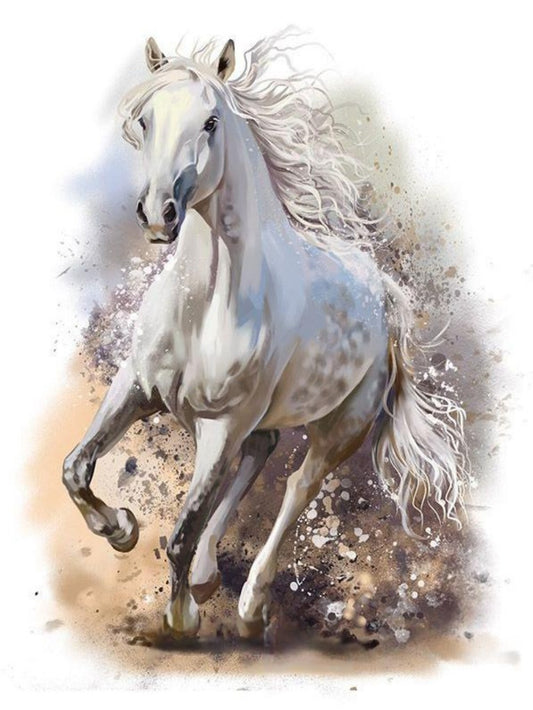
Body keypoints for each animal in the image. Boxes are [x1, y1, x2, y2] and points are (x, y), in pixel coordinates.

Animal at [63, 31, 469, 640]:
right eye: (145, 120)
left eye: (210, 122)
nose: (158, 215)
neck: (204, 308)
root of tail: (384, 294)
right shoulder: (136, 386)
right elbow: (76, 469)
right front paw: (122, 530)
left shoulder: (221, 426)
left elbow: (180, 534)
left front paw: (181, 618)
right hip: (263, 419)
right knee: (264, 450)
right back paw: (210, 574)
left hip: (342, 427)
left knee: (299, 484)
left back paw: (252, 605)